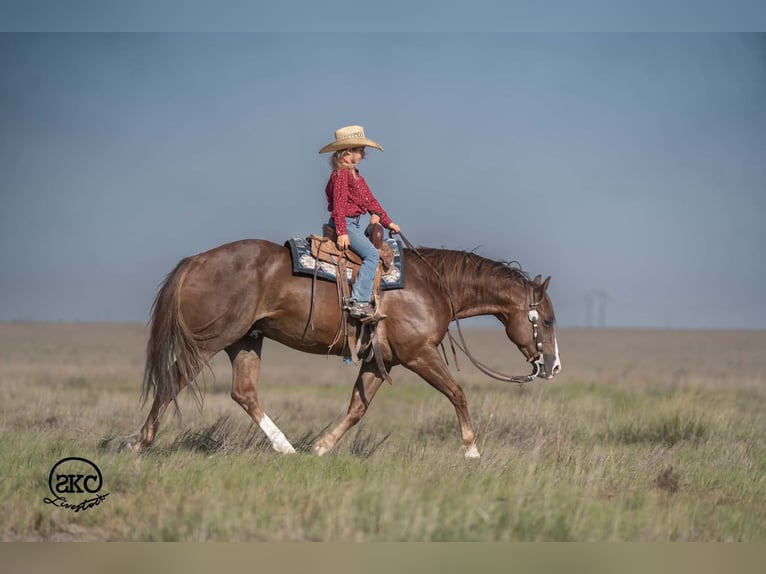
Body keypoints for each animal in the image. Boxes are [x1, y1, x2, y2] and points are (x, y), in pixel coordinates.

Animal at [129, 238, 562, 459]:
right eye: (548, 320)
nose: (553, 367)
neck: (434, 285)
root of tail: (194, 260)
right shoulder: (419, 355)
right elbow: (458, 393)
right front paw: (471, 452)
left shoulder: (381, 361)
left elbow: (357, 408)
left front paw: (322, 448)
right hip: (209, 341)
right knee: (172, 383)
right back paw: (140, 441)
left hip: (246, 340)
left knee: (244, 392)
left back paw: (287, 448)